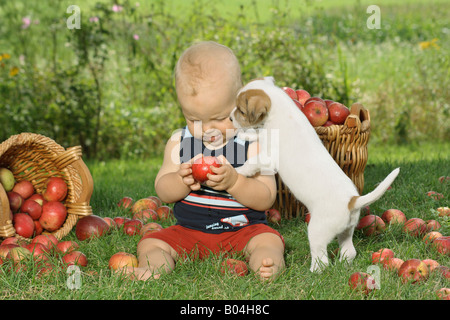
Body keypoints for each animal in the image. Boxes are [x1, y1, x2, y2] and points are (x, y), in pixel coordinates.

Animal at [230, 76, 400, 272]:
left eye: (241, 110)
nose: (229, 118)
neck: (282, 111)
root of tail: (352, 201)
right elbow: (256, 133)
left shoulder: (267, 158)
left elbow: (251, 162)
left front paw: (238, 171)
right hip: (346, 231)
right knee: (349, 251)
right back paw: (343, 263)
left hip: (317, 231)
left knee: (322, 260)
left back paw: (313, 272)